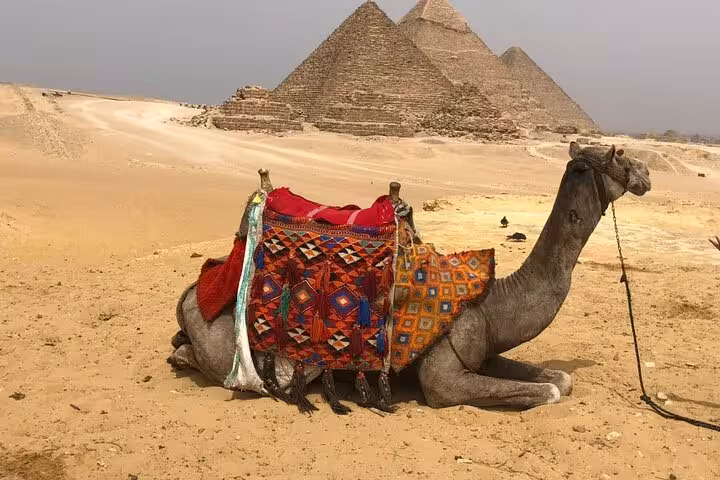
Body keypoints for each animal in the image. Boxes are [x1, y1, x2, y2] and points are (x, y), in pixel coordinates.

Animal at [169, 142, 651, 410]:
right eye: (620, 157)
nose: (647, 176)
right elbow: (550, 392)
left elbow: (560, 380)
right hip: (249, 355)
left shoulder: (480, 353)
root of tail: (193, 292)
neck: (492, 302)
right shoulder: (443, 379)